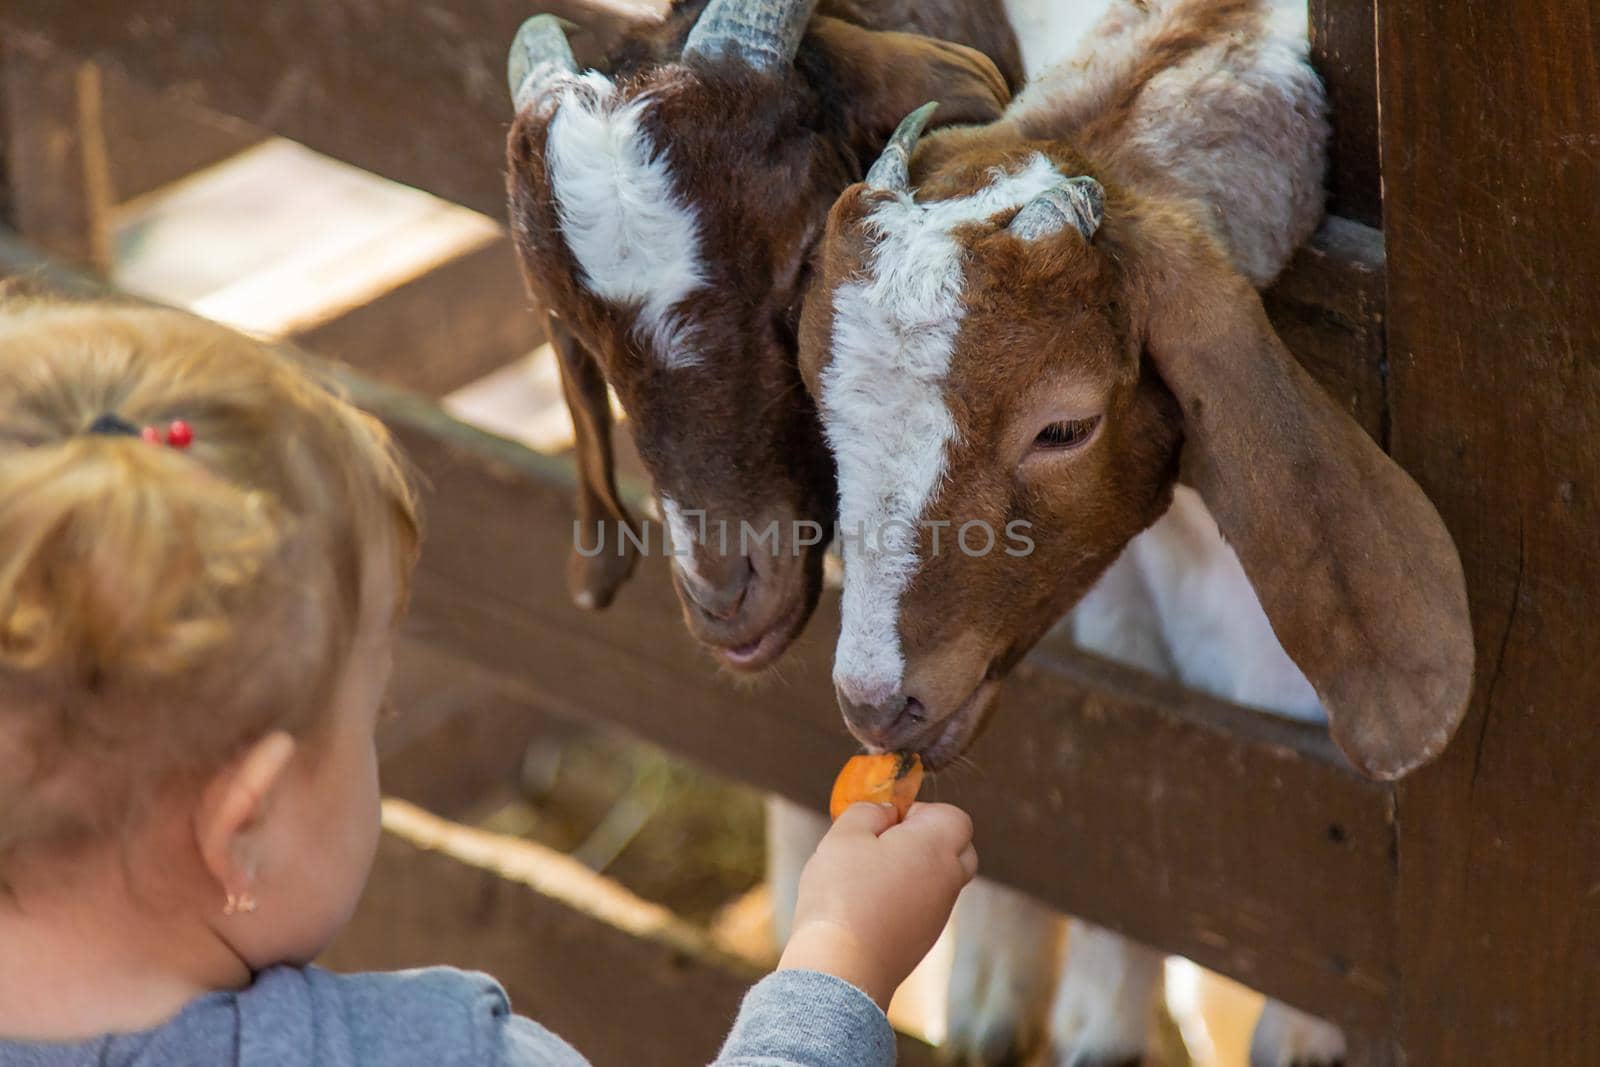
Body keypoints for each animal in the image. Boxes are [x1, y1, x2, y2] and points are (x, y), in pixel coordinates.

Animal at [800, 2, 1472, 1067]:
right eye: (817, 394)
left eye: (1065, 426)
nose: (875, 702)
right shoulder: (1125, 602)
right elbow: (1124, 768)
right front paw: (1101, 1024)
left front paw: (1301, 1032)